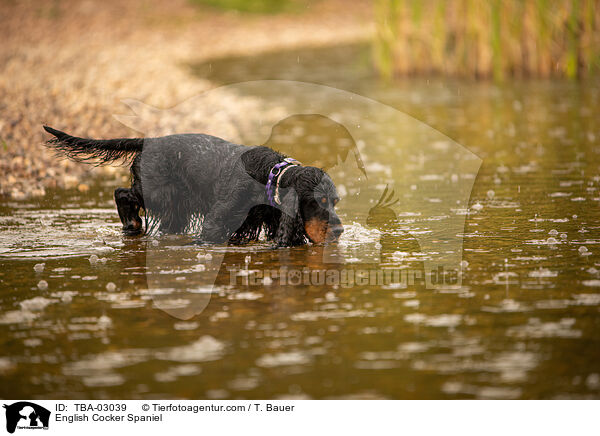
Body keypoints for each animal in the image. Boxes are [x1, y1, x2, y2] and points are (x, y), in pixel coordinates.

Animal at [42, 125, 342, 245]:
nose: (339, 230)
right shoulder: (217, 221)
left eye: (335, 201)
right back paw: (132, 224)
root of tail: (149, 141)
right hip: (159, 193)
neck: (269, 174)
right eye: (318, 201)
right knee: (122, 193)